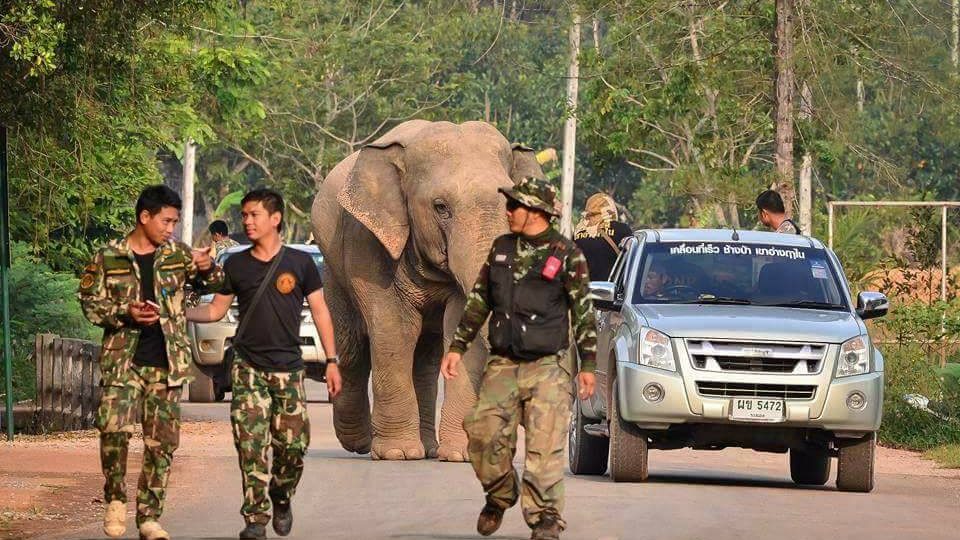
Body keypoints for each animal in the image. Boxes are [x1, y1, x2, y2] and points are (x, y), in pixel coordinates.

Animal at [312, 120, 544, 462]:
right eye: (441, 207)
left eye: (511, 205)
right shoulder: (367, 241)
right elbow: (395, 329)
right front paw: (397, 454)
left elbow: (459, 324)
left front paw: (460, 455)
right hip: (332, 267)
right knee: (352, 346)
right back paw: (359, 443)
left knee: (424, 359)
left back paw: (428, 448)